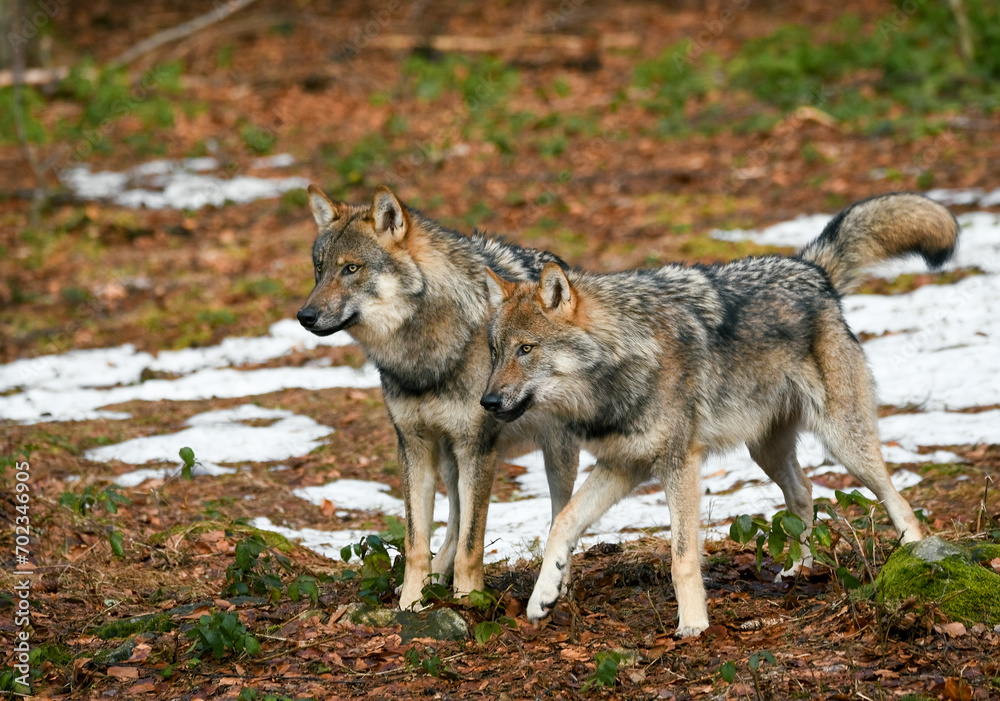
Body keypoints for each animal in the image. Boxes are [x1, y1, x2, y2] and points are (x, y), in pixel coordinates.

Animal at [296, 185, 580, 608]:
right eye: (320, 268)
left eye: (351, 269)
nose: (304, 316)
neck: (424, 355)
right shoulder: (413, 446)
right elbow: (417, 542)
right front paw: (411, 603)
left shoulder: (477, 447)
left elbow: (472, 546)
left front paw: (470, 600)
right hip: (449, 460)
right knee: (452, 525)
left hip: (553, 458)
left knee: (558, 518)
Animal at [484, 191, 960, 636]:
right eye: (495, 351)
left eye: (526, 349)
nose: (487, 402)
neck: (624, 359)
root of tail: (812, 271)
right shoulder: (623, 465)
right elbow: (561, 523)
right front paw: (542, 599)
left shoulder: (679, 464)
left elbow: (681, 557)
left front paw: (693, 625)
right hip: (764, 451)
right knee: (804, 492)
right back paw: (798, 569)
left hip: (844, 442)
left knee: (896, 497)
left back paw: (914, 557)